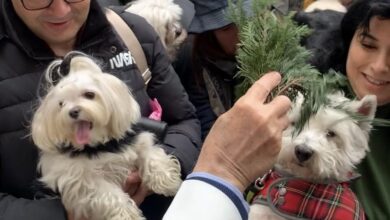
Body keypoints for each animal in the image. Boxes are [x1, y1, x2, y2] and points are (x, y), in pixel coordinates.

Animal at [31, 53, 182, 220]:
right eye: (61, 104)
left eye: (89, 94)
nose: (73, 111)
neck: (99, 144)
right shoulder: (79, 180)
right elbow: (106, 192)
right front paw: (126, 214)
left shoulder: (137, 141)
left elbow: (151, 155)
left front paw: (167, 181)